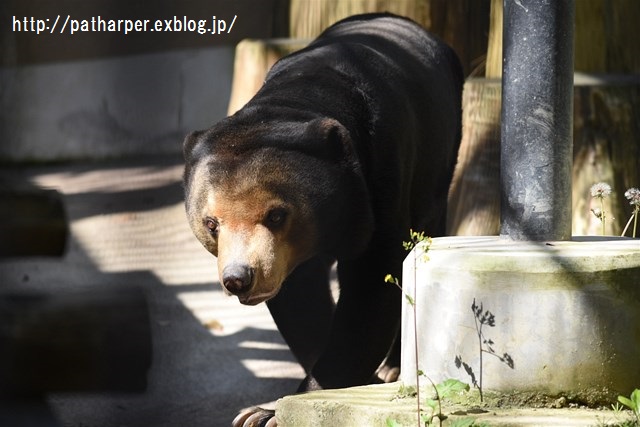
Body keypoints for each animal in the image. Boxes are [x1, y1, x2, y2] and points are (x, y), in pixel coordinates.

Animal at [182, 13, 462, 427]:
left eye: (277, 214)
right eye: (211, 224)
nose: (239, 278)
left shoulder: (380, 176)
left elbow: (372, 283)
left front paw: (270, 412)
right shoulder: (288, 258)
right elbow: (301, 300)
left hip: (436, 165)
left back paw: (395, 365)